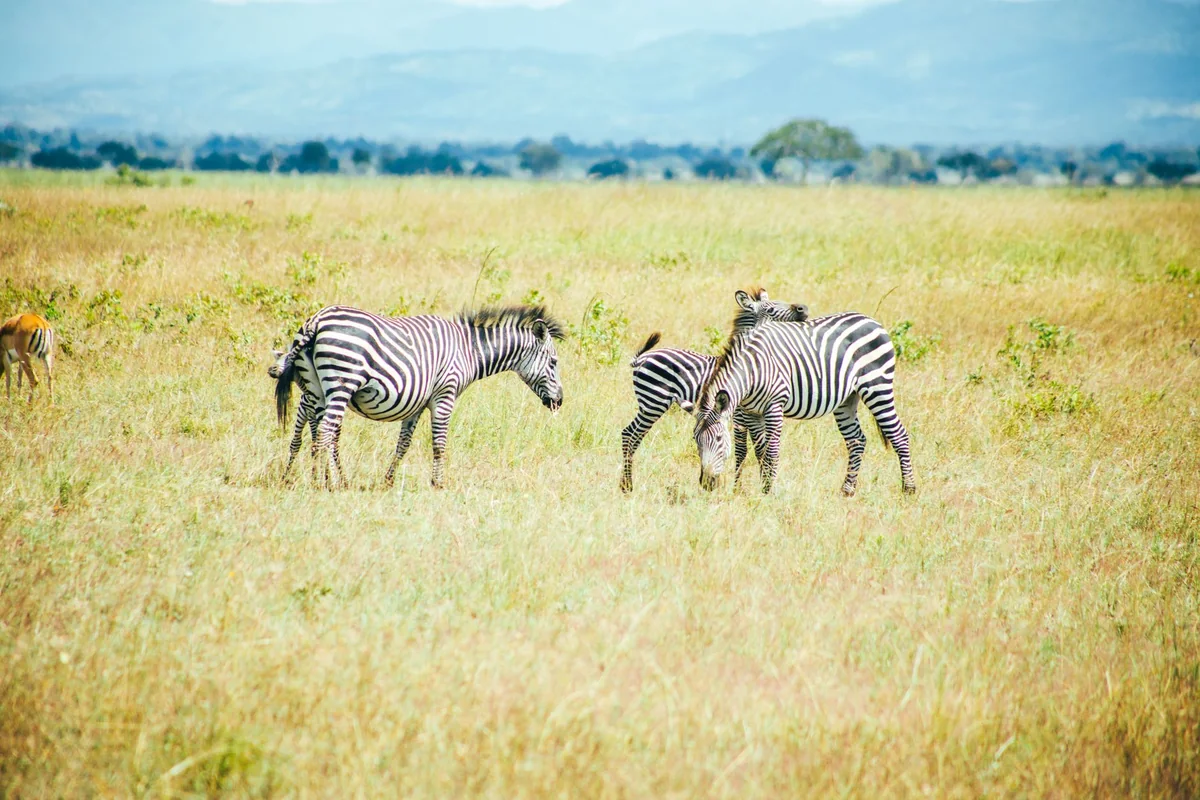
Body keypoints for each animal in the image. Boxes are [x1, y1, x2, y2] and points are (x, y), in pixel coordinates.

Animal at [269, 303, 565, 489]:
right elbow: (439, 443)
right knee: (326, 432)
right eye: (554, 362)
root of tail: (316, 320)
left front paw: (388, 480)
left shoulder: (417, 403)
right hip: (342, 382)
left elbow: (403, 443)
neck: (468, 350)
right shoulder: (445, 395)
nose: (559, 402)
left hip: (316, 388)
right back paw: (330, 483)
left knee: (318, 430)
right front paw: (439, 483)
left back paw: (319, 478)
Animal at [620, 289, 809, 492]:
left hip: (650, 404)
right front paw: (736, 489)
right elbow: (742, 450)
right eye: (772, 309)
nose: (804, 309)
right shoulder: (740, 415)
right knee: (630, 435)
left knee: (632, 435)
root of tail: (642, 358)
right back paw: (627, 486)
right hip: (653, 403)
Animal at [692, 290, 915, 496]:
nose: (706, 483)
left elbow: (770, 451)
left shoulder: (773, 407)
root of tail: (871, 320)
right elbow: (759, 450)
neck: (752, 369)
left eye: (719, 439)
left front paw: (768, 492)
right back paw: (847, 490)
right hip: (847, 398)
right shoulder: (750, 413)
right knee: (856, 440)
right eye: (696, 440)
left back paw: (909, 489)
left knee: (899, 434)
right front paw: (760, 488)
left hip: (877, 386)